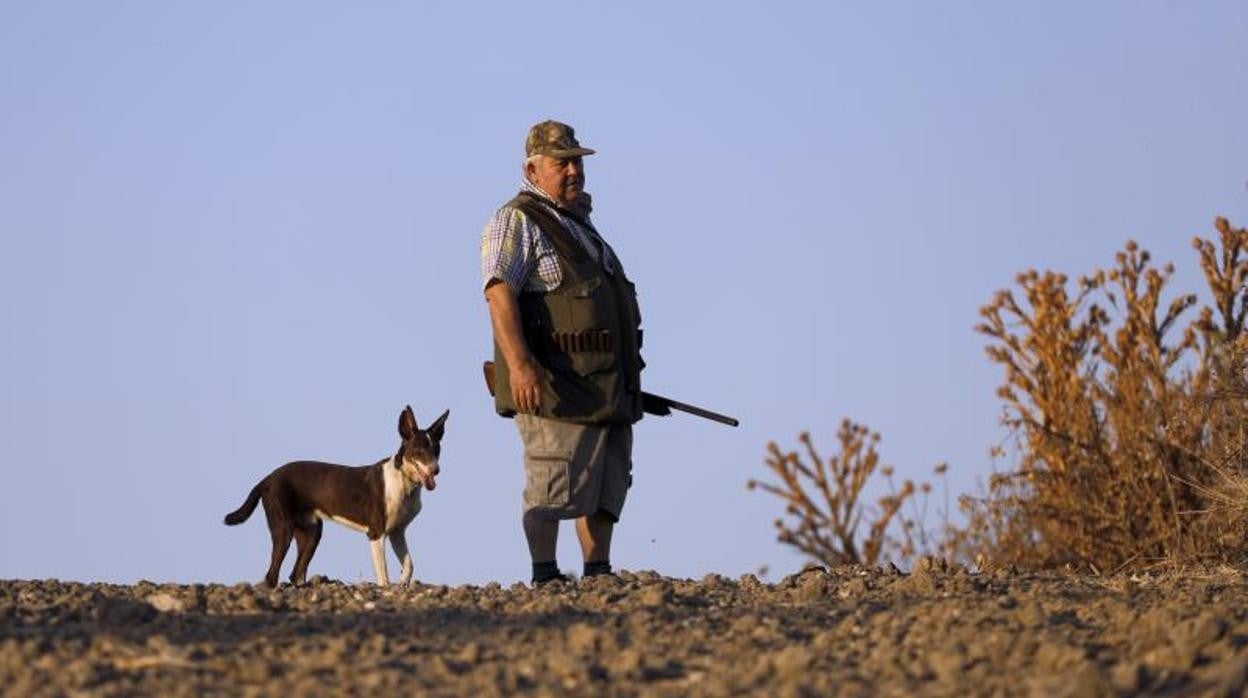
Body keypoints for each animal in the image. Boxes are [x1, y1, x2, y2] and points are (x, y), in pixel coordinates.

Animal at [224, 407, 449, 586]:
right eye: (419, 450)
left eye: (437, 450)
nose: (436, 470)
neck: (403, 479)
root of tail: (268, 478)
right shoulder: (376, 533)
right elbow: (383, 574)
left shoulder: (397, 532)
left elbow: (409, 564)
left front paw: (403, 583)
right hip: (283, 529)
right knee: (272, 575)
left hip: (311, 533)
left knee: (295, 573)